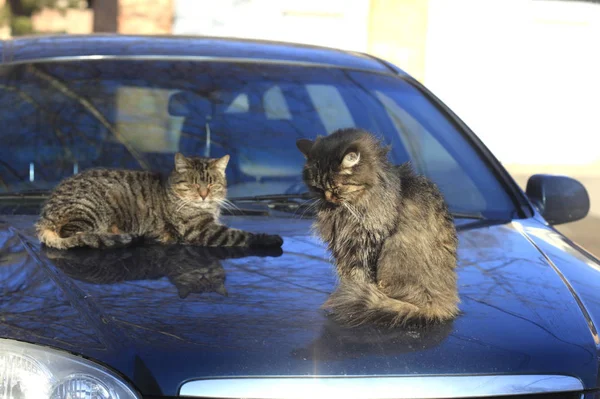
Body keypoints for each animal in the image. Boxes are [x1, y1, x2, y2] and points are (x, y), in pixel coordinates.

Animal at [35, 153, 284, 250]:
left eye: (212, 184)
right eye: (193, 184)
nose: (204, 194)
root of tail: (43, 218)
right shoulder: (203, 231)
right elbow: (242, 236)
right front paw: (271, 238)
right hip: (90, 209)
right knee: (77, 234)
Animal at [296, 128, 460, 328]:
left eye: (337, 187)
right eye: (318, 188)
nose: (328, 198)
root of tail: (443, 304)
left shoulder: (366, 244)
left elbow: (361, 277)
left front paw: (351, 297)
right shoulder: (342, 248)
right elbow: (347, 276)